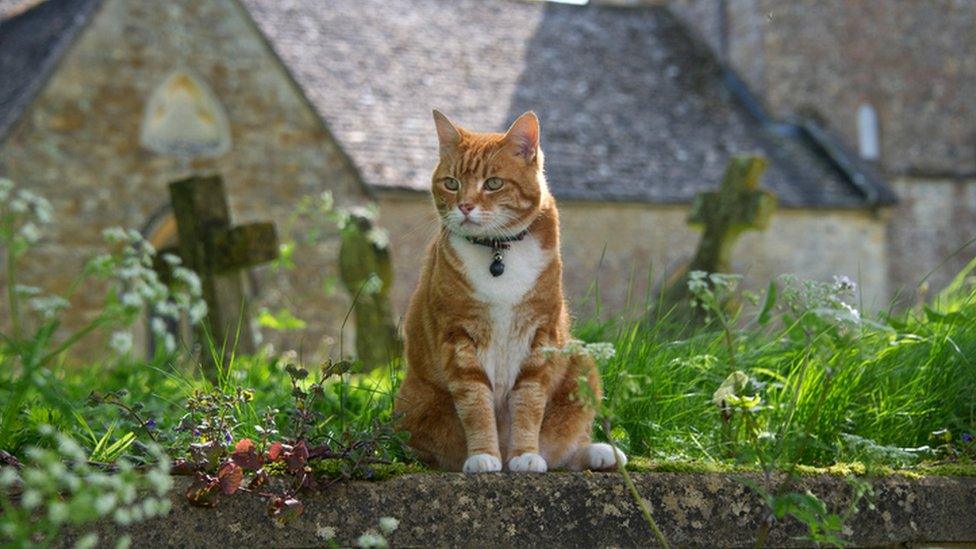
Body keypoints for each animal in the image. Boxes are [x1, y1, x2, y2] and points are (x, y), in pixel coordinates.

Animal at [394, 110, 628, 470]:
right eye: (451, 183)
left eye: (493, 183)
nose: (465, 206)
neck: (497, 250)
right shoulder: (458, 337)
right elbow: (475, 404)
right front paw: (483, 456)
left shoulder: (540, 336)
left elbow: (529, 403)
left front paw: (526, 455)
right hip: (414, 403)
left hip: (581, 362)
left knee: (564, 448)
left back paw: (600, 453)